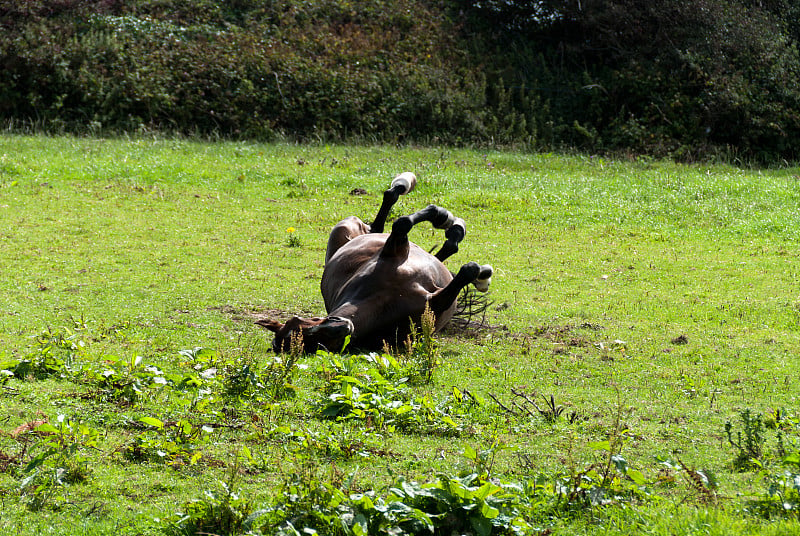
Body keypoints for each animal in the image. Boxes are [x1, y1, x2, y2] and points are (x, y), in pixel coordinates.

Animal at [260, 172, 490, 354]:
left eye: (301, 322)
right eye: (317, 345)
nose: (342, 326)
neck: (384, 300)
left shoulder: (393, 251)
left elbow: (402, 223)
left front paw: (441, 215)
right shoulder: (434, 303)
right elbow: (466, 271)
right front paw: (480, 272)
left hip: (349, 228)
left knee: (387, 208)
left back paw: (425, 201)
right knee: (445, 252)